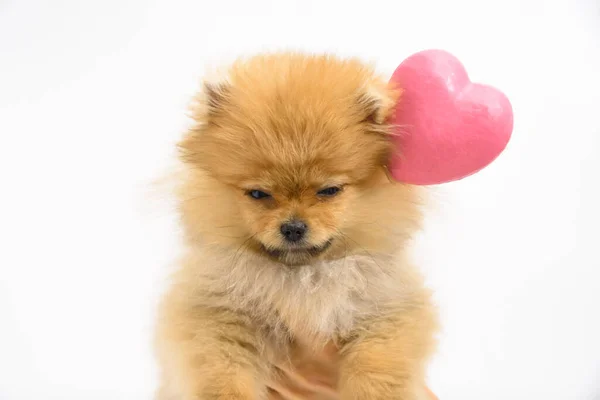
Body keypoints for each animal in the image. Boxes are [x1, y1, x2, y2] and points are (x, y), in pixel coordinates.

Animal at [154, 54, 436, 400]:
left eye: (329, 190)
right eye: (258, 194)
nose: (292, 227)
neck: (301, 278)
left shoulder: (386, 310)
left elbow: (378, 364)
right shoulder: (217, 313)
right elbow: (222, 371)